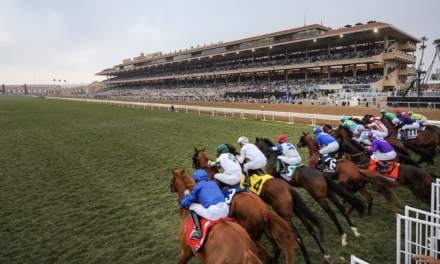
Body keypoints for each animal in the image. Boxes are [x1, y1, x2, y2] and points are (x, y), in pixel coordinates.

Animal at [194, 147, 332, 262]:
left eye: (194, 158)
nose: (194, 167)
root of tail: (288, 189)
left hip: (285, 215)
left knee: (296, 236)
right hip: (296, 209)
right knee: (310, 229)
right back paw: (325, 254)